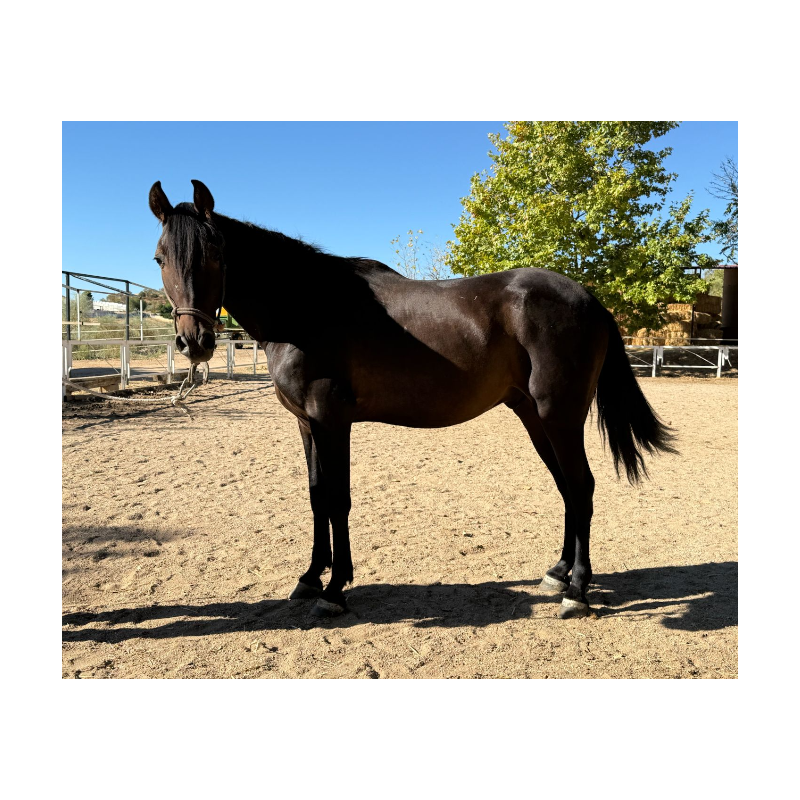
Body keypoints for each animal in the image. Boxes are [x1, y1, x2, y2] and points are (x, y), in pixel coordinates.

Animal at [148, 179, 676, 620]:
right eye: (159, 258)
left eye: (216, 251)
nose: (194, 342)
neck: (307, 308)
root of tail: (587, 297)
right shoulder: (305, 423)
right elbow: (318, 497)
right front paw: (310, 578)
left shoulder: (331, 420)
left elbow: (338, 499)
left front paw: (335, 590)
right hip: (535, 417)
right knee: (567, 487)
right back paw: (558, 573)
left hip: (559, 416)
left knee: (581, 487)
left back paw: (578, 592)